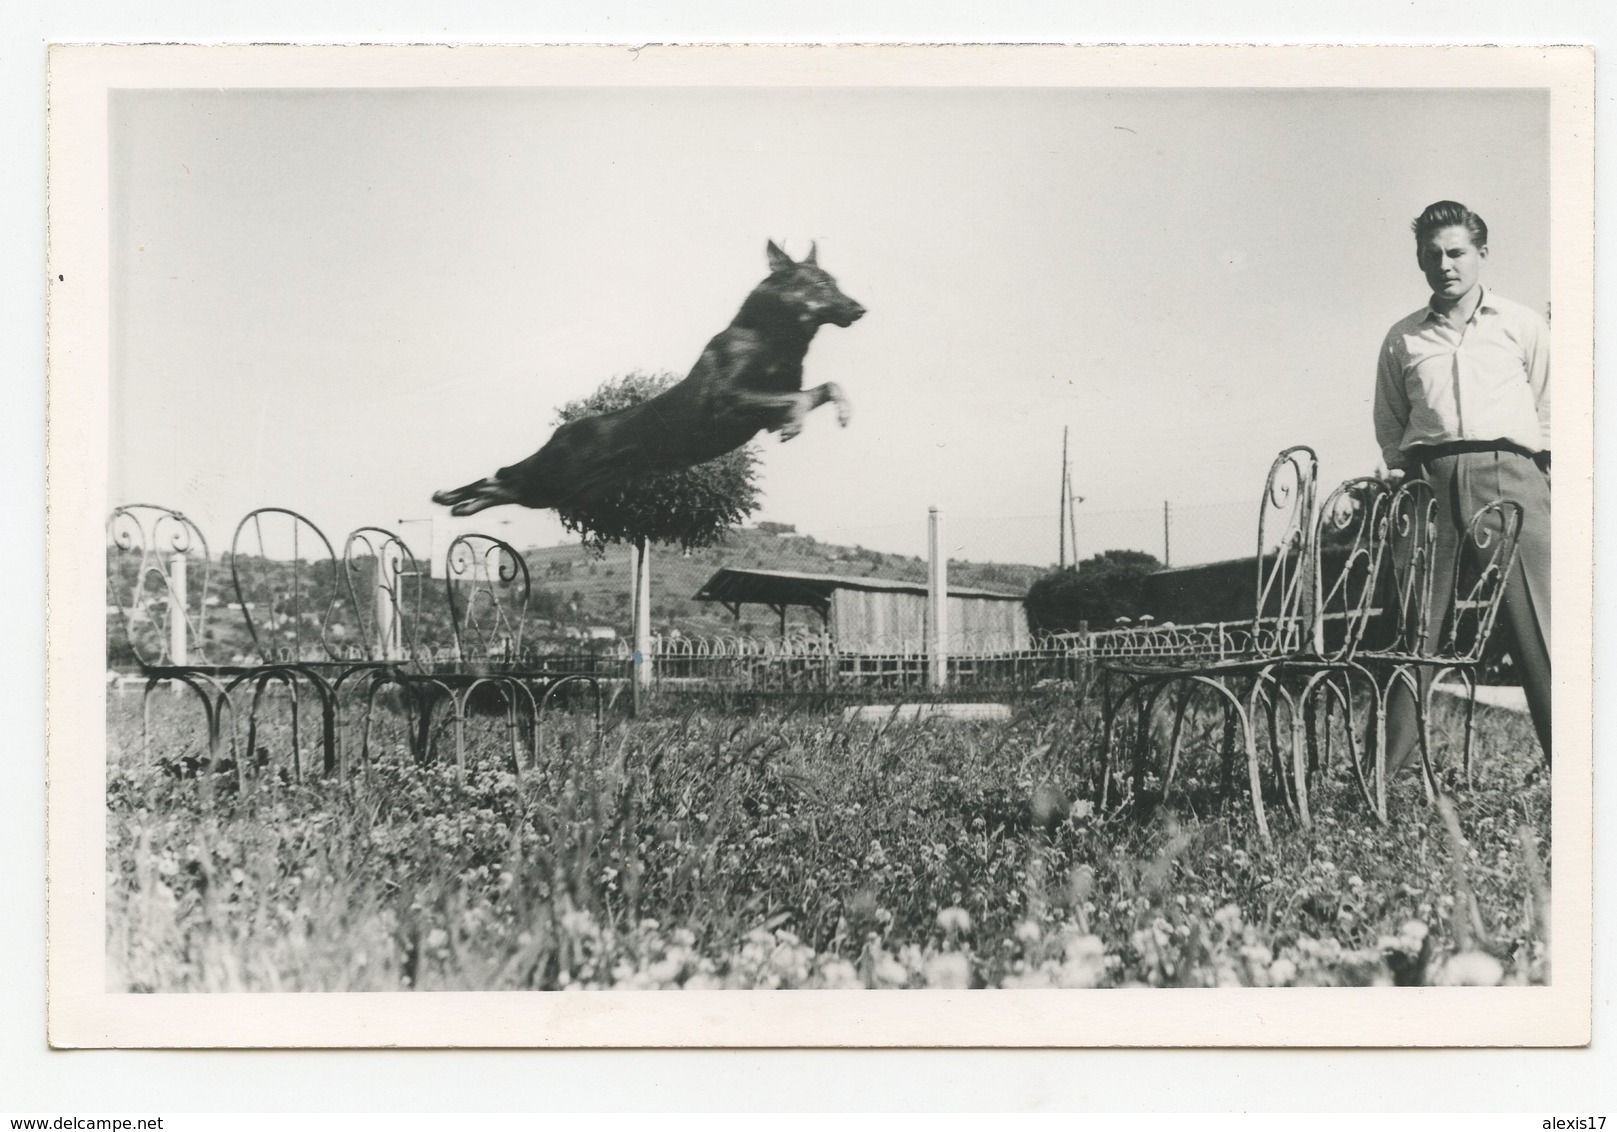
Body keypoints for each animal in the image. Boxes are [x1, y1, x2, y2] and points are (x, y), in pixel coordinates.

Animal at [426, 245, 860, 520]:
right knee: (503, 477)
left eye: (835, 281)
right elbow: (796, 399)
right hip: (556, 476)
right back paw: (452, 496)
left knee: (503, 484)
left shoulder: (765, 408)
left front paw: (840, 412)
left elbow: (825, 388)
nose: (861, 309)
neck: (770, 337)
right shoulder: (729, 400)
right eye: (822, 284)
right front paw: (795, 424)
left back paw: (459, 504)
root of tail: (565, 431)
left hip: (567, 490)